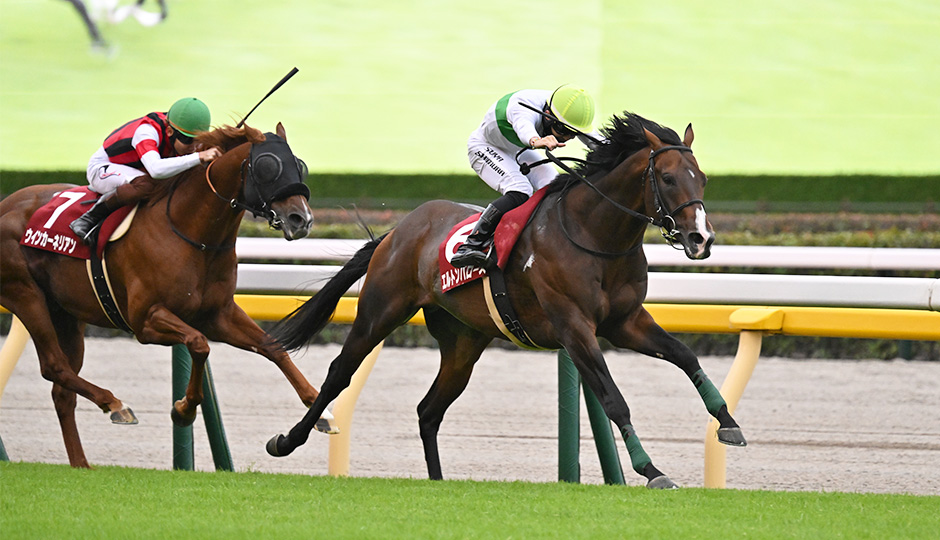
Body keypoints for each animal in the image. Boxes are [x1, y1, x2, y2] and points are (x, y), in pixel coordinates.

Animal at [0, 123, 331, 468]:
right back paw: (115, 404)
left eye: (299, 165)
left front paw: (319, 411)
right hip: (26, 295)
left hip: (66, 314)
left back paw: (82, 463)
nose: (302, 219)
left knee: (62, 391)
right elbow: (199, 344)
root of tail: (6, 204)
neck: (193, 234)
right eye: (268, 167)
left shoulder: (219, 314)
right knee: (54, 366)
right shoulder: (146, 321)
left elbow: (272, 347)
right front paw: (183, 410)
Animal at [265, 112, 747, 488]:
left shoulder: (624, 321)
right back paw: (286, 441)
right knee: (339, 375)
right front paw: (652, 470)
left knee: (429, 410)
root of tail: (399, 230)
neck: (594, 235)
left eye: (703, 178)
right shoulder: (574, 327)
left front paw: (729, 424)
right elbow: (613, 397)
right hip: (380, 312)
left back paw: (437, 482)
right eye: (667, 177)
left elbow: (684, 355)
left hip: (463, 341)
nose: (701, 239)